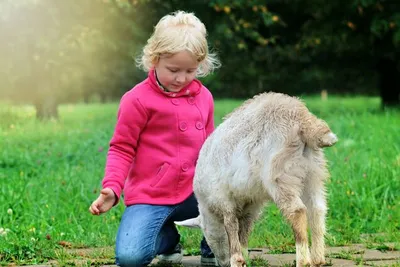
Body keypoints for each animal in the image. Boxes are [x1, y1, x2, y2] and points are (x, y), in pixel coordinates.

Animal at [175, 92, 338, 267]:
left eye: (207, 236)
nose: (222, 263)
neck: (208, 205)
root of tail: (302, 119)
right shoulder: (251, 202)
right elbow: (245, 229)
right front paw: (244, 256)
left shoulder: (222, 197)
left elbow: (231, 226)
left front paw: (236, 259)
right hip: (312, 172)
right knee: (317, 209)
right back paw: (318, 259)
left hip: (279, 174)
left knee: (297, 211)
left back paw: (303, 261)